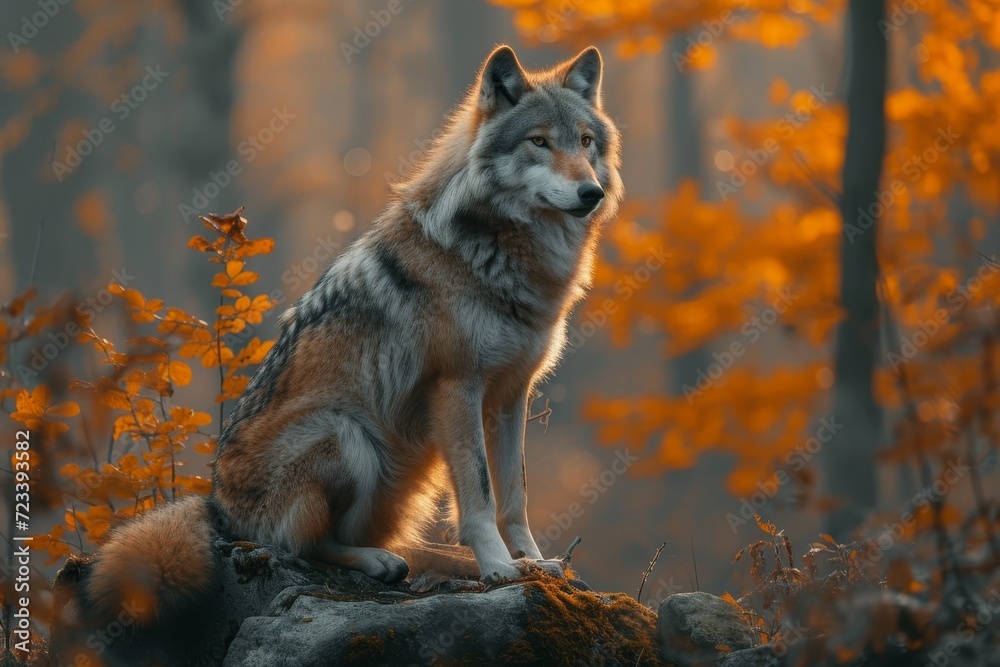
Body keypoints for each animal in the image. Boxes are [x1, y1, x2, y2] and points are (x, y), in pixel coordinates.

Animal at [72, 44, 623, 631]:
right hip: (346, 434)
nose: (591, 192)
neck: (503, 252)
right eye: (539, 141)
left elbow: (514, 495)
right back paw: (383, 563)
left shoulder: (511, 397)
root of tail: (216, 508)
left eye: (585, 142)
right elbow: (478, 494)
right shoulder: (457, 387)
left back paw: (430, 561)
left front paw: (534, 562)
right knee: (304, 546)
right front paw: (499, 567)